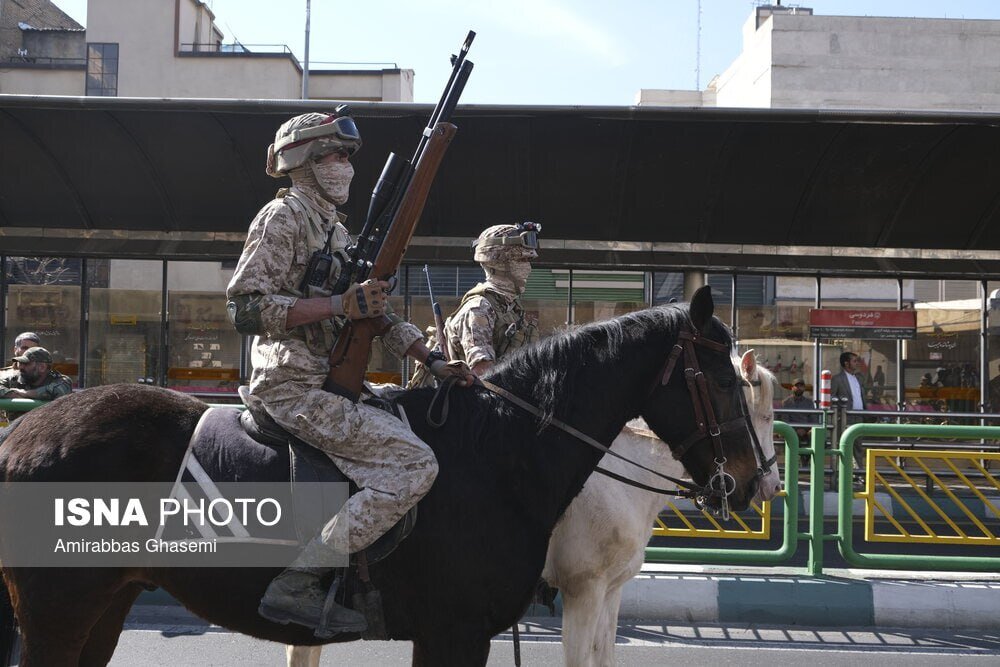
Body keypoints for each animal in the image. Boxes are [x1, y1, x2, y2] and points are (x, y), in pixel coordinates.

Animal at [0, 288, 760, 667]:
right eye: (725, 379)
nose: (756, 484)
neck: (500, 454)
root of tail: (21, 433)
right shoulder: (460, 631)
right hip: (59, 609)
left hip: (106, 603)